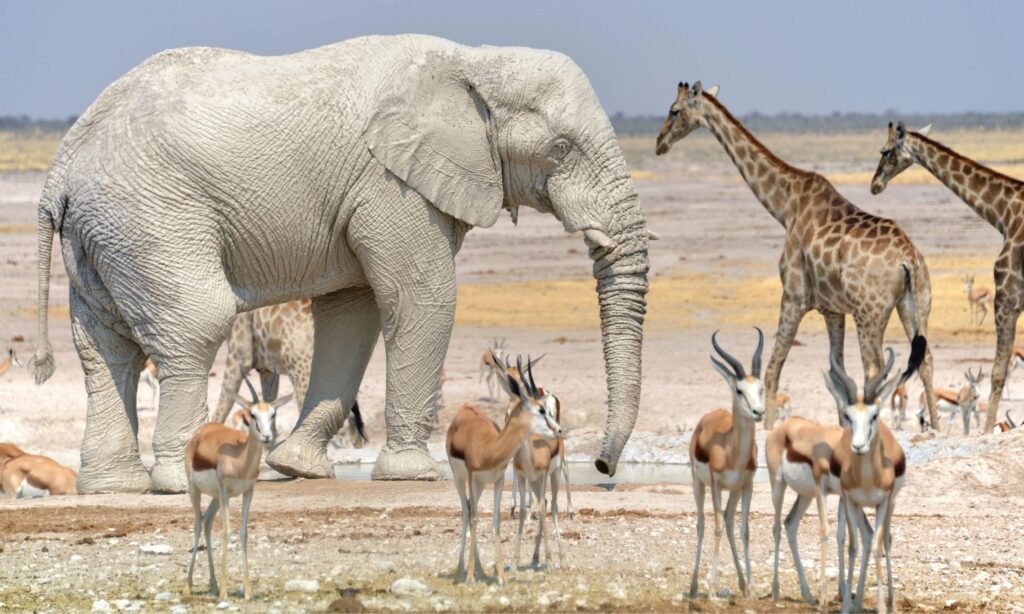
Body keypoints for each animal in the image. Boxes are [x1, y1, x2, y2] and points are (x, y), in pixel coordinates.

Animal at [29, 34, 650, 493]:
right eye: (562, 149)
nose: (602, 467)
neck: (475, 59)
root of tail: (60, 169)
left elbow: (353, 315)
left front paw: (297, 468)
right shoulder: (393, 184)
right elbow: (420, 300)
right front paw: (413, 475)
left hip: (104, 234)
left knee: (104, 346)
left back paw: (112, 486)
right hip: (152, 219)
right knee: (194, 323)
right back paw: (180, 482)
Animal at [656, 81, 938, 429]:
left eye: (674, 110)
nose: (660, 143)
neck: (786, 207)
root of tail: (908, 258)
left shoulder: (793, 296)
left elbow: (773, 368)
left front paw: (767, 426)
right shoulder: (833, 309)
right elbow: (837, 373)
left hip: (870, 313)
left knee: (875, 369)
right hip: (914, 303)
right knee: (925, 358)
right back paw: (936, 428)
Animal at [871, 121, 1024, 433]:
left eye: (886, 150)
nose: (874, 185)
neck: (1004, 215)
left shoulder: (1007, 295)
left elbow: (997, 371)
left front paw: (986, 430)